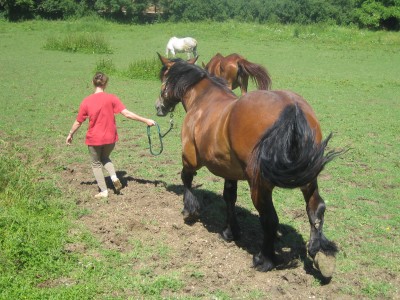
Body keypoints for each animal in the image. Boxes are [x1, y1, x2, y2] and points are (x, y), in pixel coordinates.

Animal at [156, 53, 344, 278]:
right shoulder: (229, 170)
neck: (203, 101)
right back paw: (318, 252)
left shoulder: (189, 157)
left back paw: (265, 259)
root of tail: (293, 107)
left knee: (270, 219)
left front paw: (189, 209)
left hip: (259, 184)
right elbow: (229, 197)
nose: (158, 107)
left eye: (163, 78)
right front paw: (230, 231)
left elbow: (186, 179)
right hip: (308, 178)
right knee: (316, 208)